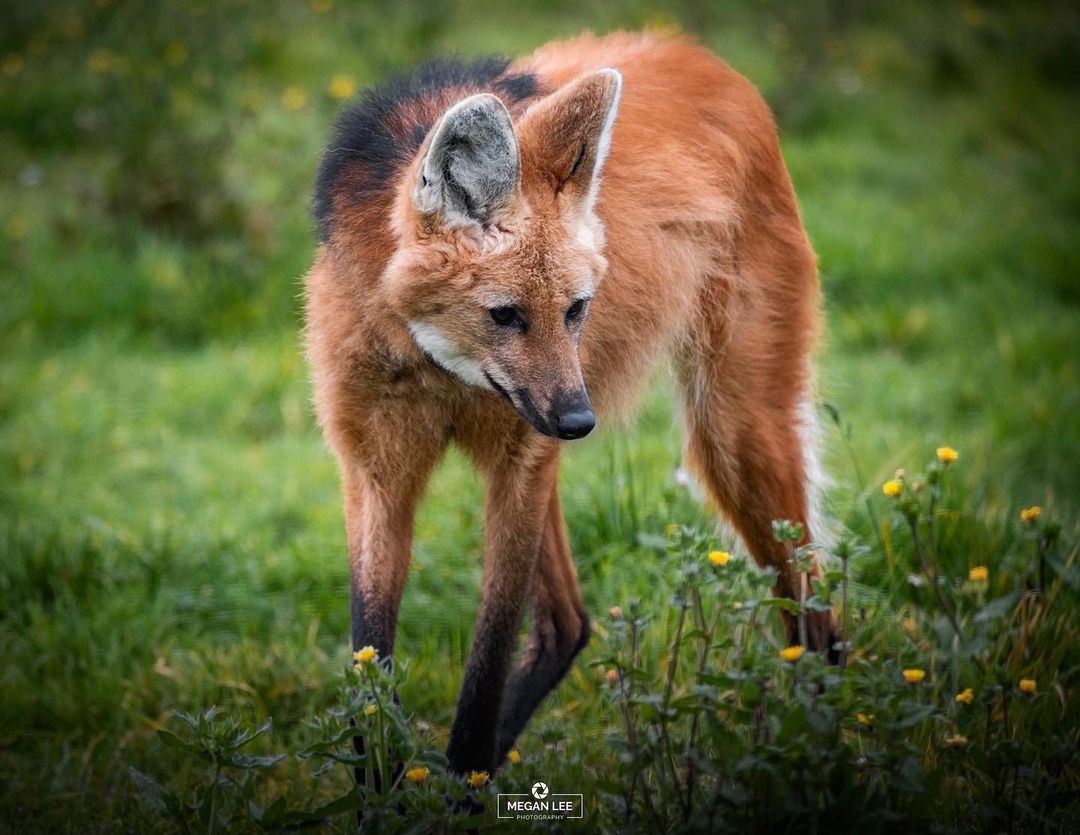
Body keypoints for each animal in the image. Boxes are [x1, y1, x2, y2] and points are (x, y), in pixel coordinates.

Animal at [308, 30, 838, 773]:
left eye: (575, 309)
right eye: (505, 315)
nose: (581, 421)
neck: (440, 370)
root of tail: (707, 59)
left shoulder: (520, 452)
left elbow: (489, 655)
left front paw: (463, 767)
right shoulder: (377, 469)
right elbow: (370, 660)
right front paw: (391, 780)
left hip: (730, 432)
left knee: (816, 618)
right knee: (568, 623)